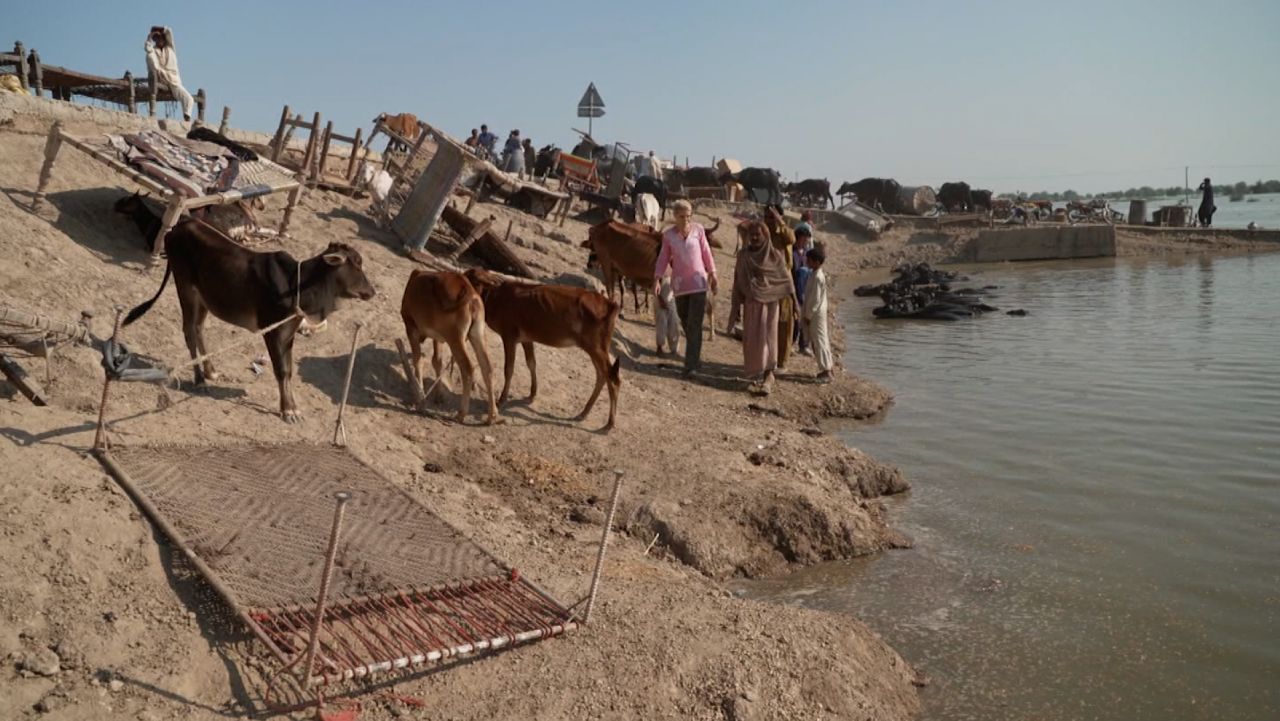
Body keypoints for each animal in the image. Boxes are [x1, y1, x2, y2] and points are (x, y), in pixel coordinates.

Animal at [122, 220, 373, 422]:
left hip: (204, 298)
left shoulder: (288, 333)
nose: (372, 291)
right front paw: (288, 411)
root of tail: (177, 227)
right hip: (185, 288)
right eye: (356, 264)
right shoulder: (272, 332)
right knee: (189, 330)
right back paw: (200, 379)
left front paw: (292, 407)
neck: (297, 285)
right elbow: (281, 370)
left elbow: (289, 370)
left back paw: (211, 371)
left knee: (198, 328)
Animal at [399, 267, 499, 425]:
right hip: (477, 336)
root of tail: (470, 296)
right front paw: (439, 395)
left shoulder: (411, 327)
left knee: (468, 369)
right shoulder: (438, 338)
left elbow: (418, 360)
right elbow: (437, 361)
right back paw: (492, 416)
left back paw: (461, 414)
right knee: (487, 368)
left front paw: (420, 399)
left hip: (455, 340)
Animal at [463, 268, 622, 427]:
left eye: (473, 280)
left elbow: (508, 369)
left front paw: (502, 399)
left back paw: (610, 423)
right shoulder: (526, 339)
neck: (496, 296)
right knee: (602, 376)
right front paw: (532, 394)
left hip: (597, 349)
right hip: (594, 349)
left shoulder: (509, 337)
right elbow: (531, 363)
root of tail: (611, 305)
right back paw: (583, 413)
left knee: (613, 379)